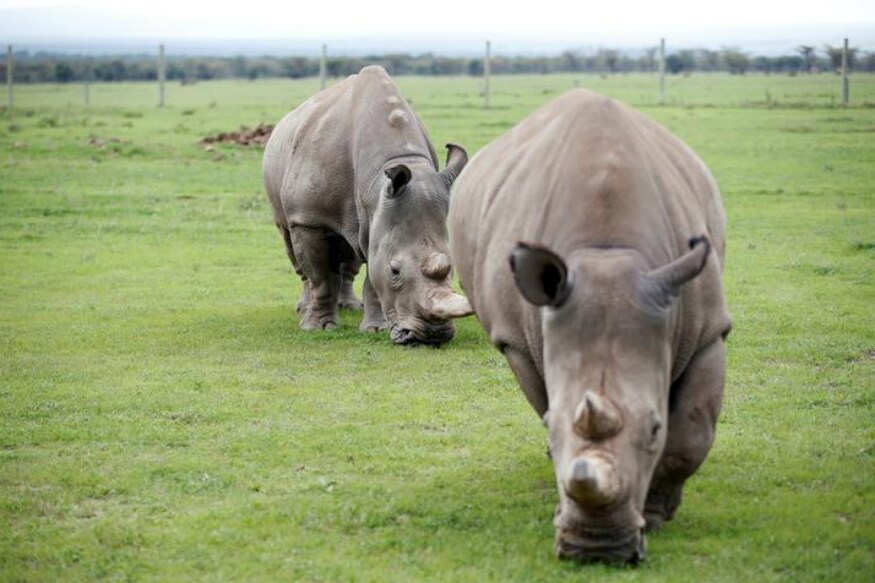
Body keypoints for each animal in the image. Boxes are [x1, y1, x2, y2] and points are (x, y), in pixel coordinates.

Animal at [263, 65, 472, 345]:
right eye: (395, 271)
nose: (431, 336)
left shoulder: (380, 215)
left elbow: (373, 272)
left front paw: (375, 329)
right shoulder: (309, 218)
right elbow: (321, 276)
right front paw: (318, 328)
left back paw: (351, 307)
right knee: (291, 241)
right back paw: (304, 309)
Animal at [449, 89, 731, 564]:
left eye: (654, 428)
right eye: (551, 426)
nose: (596, 550)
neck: (607, 254)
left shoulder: (710, 330)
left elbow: (691, 435)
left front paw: (655, 513)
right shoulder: (517, 340)